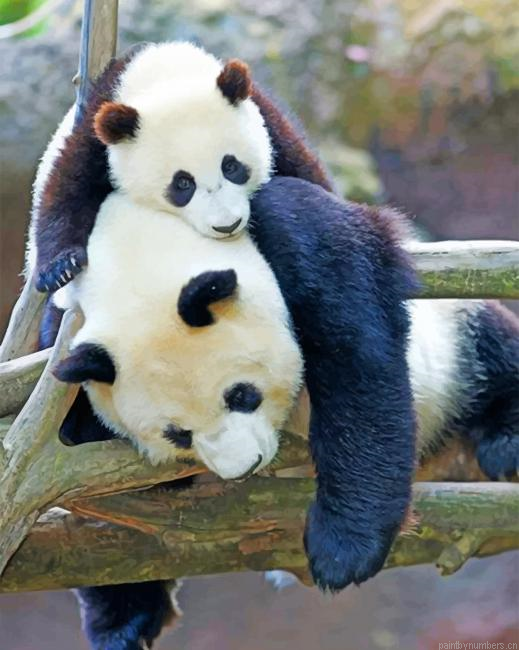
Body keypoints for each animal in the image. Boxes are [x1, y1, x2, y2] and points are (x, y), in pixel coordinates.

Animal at [29, 41, 518, 650]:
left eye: (243, 395)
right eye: (177, 435)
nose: (244, 468)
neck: (146, 238)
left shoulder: (299, 226)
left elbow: (358, 364)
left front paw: (343, 549)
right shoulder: (72, 316)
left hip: (450, 345)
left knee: (490, 349)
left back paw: (504, 436)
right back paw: (123, 622)